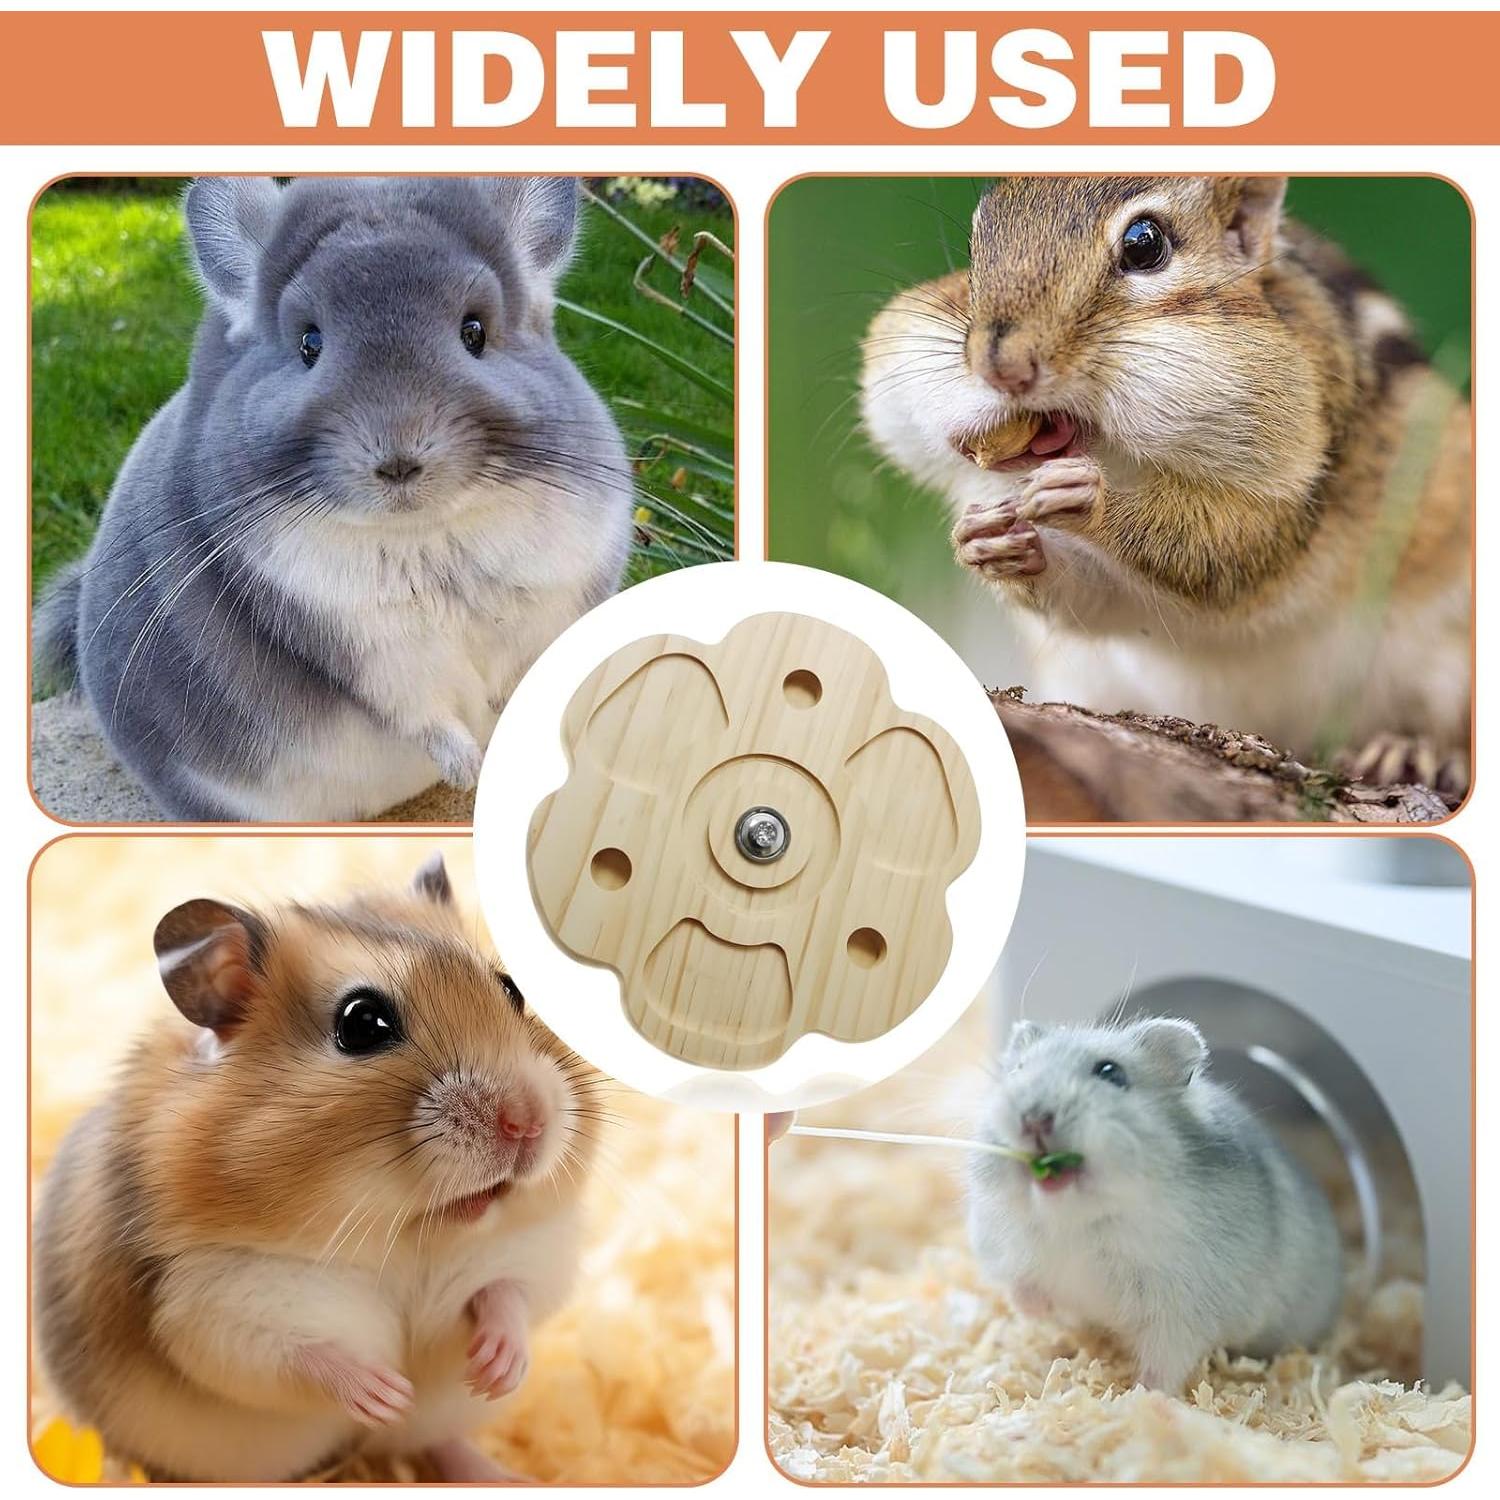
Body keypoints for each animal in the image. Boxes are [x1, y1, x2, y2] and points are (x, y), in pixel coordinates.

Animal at [32, 854, 597, 1482]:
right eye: (362, 1023)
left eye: (512, 989)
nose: (527, 1123)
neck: (406, 1233)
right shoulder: (215, 1302)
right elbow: (301, 1357)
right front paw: (386, 1393)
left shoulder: (530, 1249)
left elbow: (509, 1295)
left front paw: (497, 1370)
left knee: (438, 1440)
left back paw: (500, 1475)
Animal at [33, 177, 633, 821]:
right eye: (309, 344)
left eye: (475, 333)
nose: (398, 461)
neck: (425, 535)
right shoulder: (356, 641)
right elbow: (421, 709)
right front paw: (467, 770)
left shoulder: (558, 595)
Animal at [862, 176, 1471, 797]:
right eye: (978, 243)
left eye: (1144, 244)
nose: (1002, 366)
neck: (1122, 458)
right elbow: (1099, 603)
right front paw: (991, 544)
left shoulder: (1305, 475)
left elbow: (1236, 549)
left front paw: (1090, 501)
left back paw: (1408, 751)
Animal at [965, 1016, 1343, 1393]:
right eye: (1018, 1069)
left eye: (1111, 1072)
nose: (1033, 1119)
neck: (1077, 1221)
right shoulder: (1003, 1248)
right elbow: (1020, 1285)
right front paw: (1037, 1309)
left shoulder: (1181, 1310)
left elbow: (1165, 1363)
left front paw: (1141, 1396)